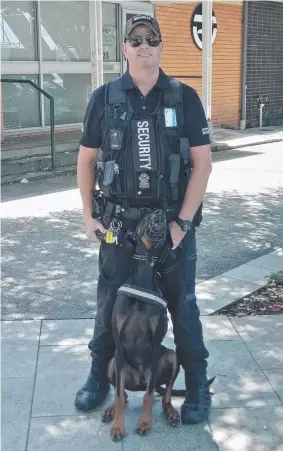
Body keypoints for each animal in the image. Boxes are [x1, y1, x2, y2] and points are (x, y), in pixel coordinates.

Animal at [101, 211, 184, 442]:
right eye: (145, 215)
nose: (160, 213)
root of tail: (137, 381)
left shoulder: (155, 347)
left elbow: (148, 395)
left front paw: (145, 423)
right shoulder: (119, 347)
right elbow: (119, 395)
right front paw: (118, 427)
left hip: (171, 356)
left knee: (163, 395)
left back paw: (172, 412)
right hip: (112, 363)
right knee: (124, 393)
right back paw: (110, 410)